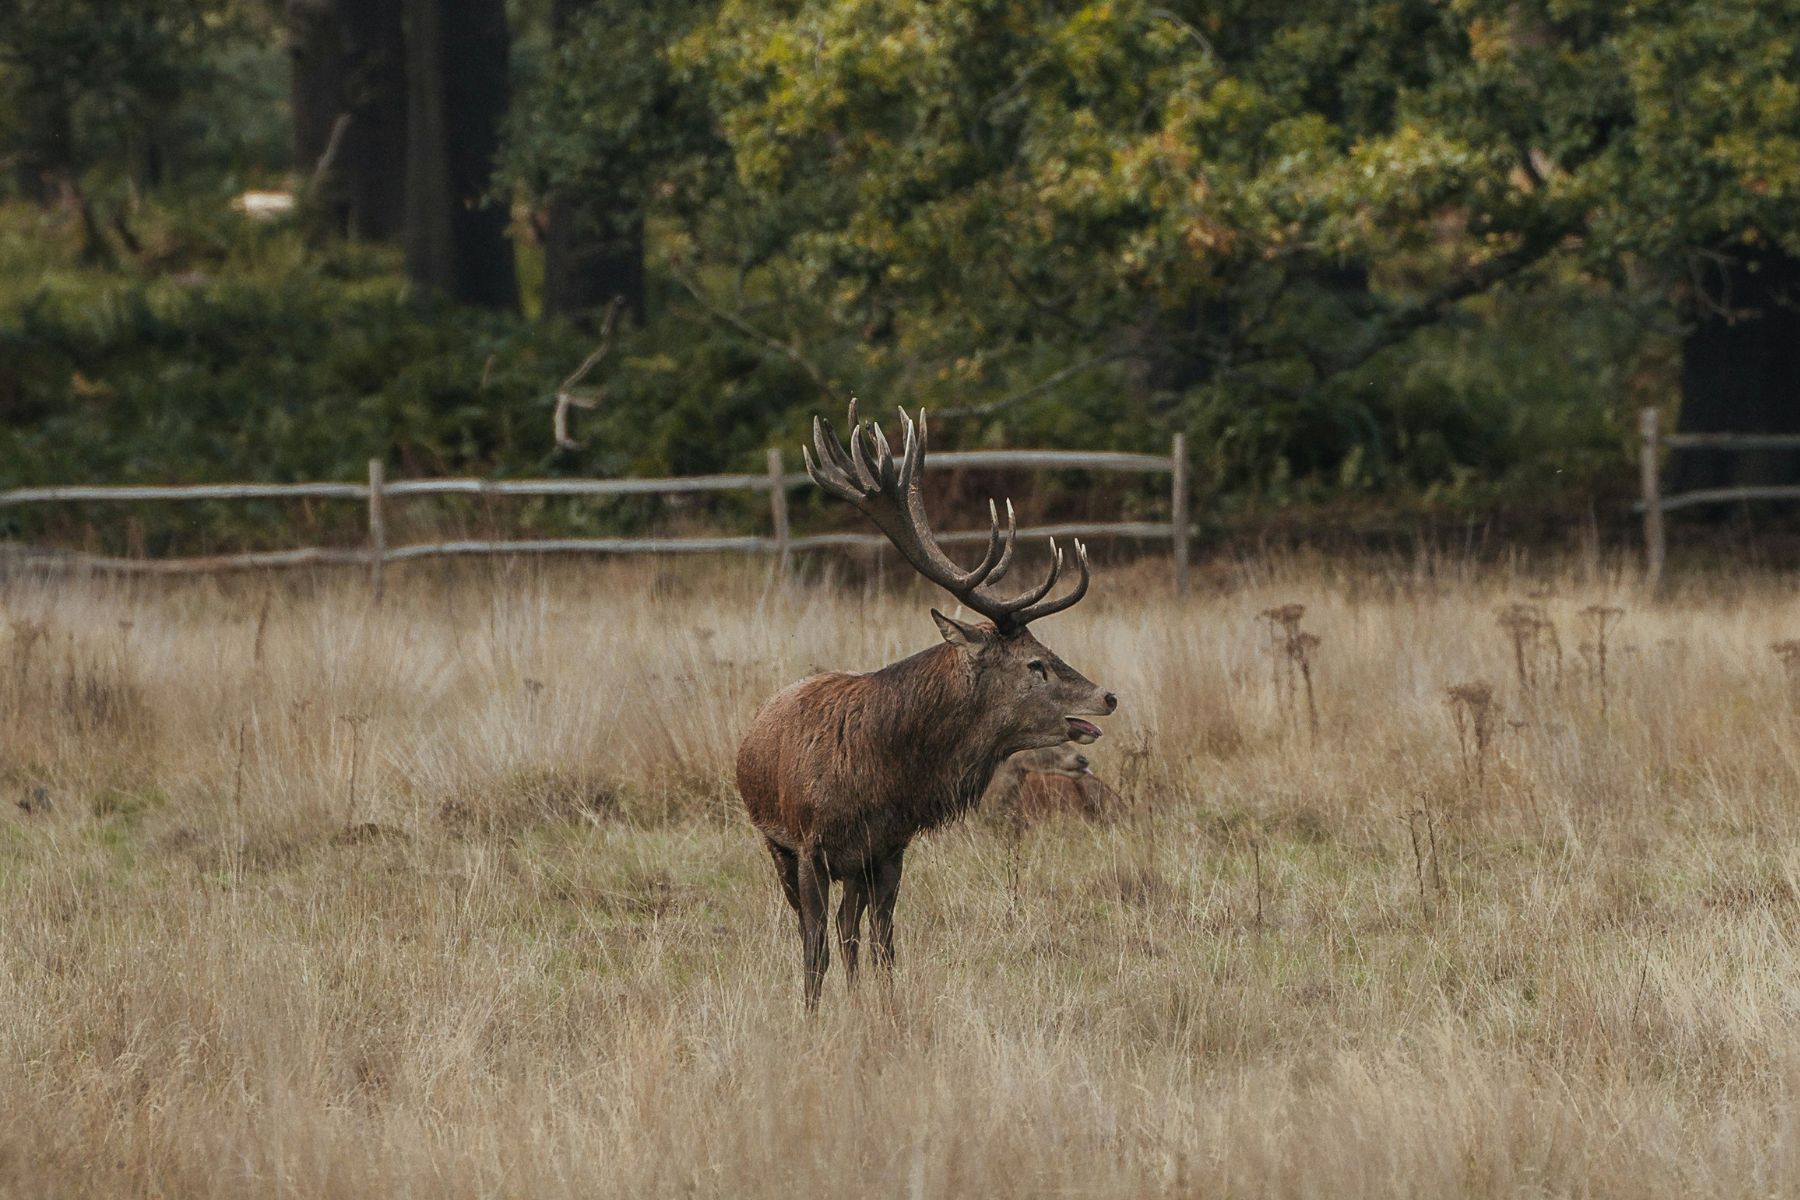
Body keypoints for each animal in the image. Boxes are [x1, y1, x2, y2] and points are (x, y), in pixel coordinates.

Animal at [736, 400, 1117, 1009]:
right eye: (1035, 664)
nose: (1107, 695)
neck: (877, 774)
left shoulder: (890, 847)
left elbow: (883, 944)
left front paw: (883, 1009)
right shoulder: (809, 845)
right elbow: (814, 948)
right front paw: (812, 1015)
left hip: (856, 866)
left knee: (850, 927)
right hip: (778, 846)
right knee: (819, 930)